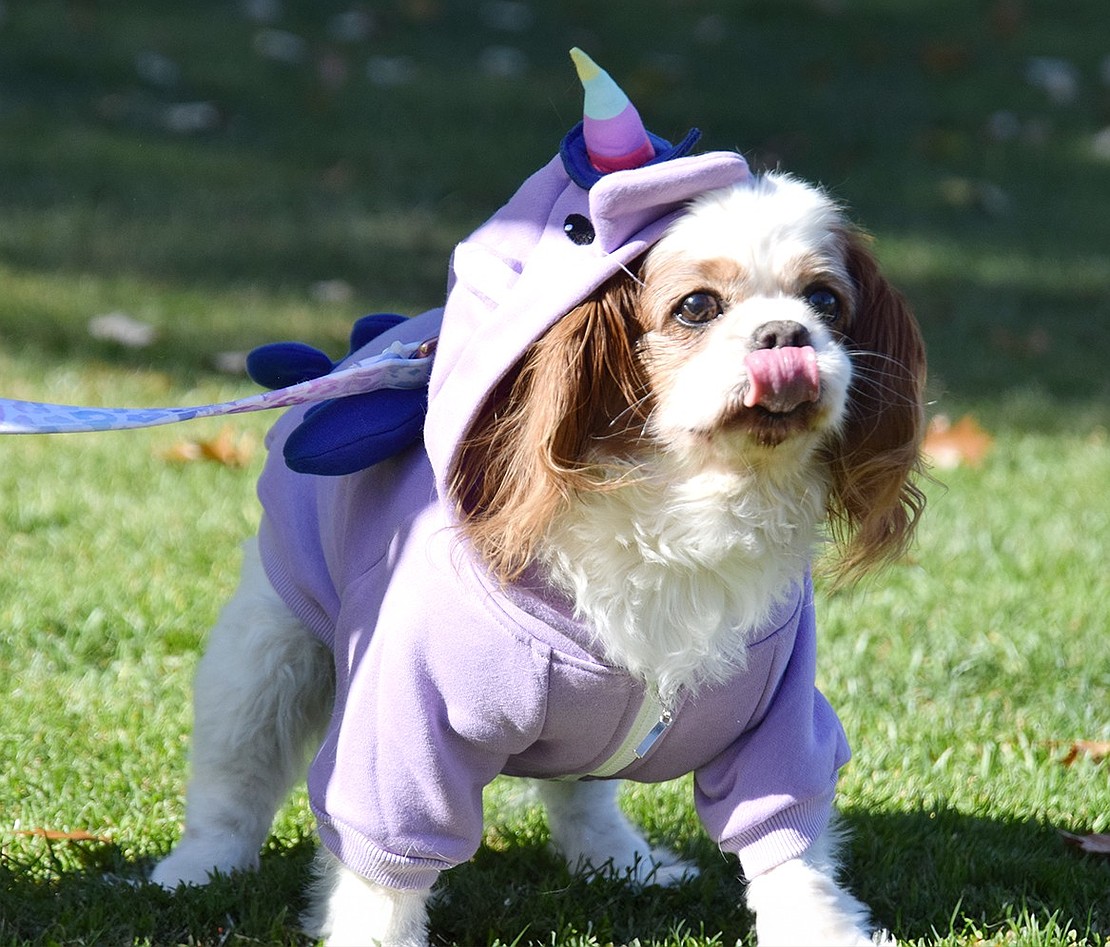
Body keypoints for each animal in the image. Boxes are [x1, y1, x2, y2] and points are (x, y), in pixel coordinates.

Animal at [149, 55, 927, 945]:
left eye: (826, 302)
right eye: (697, 307)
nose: (785, 336)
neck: (689, 505)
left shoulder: (780, 724)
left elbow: (790, 851)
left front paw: (824, 930)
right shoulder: (401, 730)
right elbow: (382, 869)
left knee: (581, 790)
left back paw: (622, 857)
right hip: (267, 653)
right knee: (234, 772)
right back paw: (197, 867)